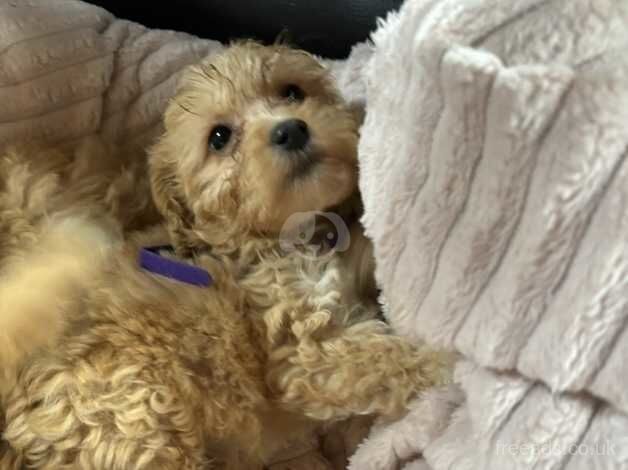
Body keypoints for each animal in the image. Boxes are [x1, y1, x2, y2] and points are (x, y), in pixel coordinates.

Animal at [0, 42, 452, 468]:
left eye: (292, 91)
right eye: (219, 138)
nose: (290, 130)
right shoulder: (305, 348)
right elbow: (384, 357)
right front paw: (448, 364)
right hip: (136, 421)